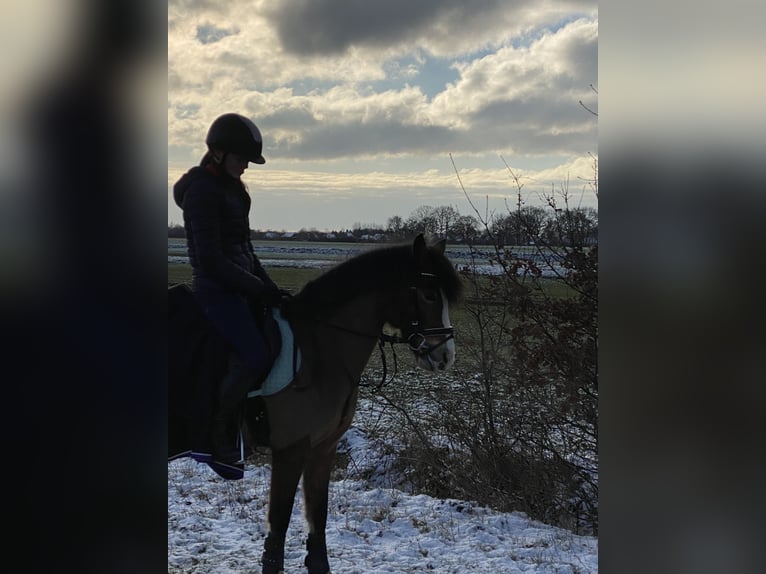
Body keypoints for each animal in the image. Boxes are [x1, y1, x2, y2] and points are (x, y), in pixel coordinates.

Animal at [172, 235, 462, 574]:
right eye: (429, 294)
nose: (445, 357)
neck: (321, 350)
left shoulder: (323, 449)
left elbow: (318, 523)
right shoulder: (290, 450)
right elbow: (278, 529)